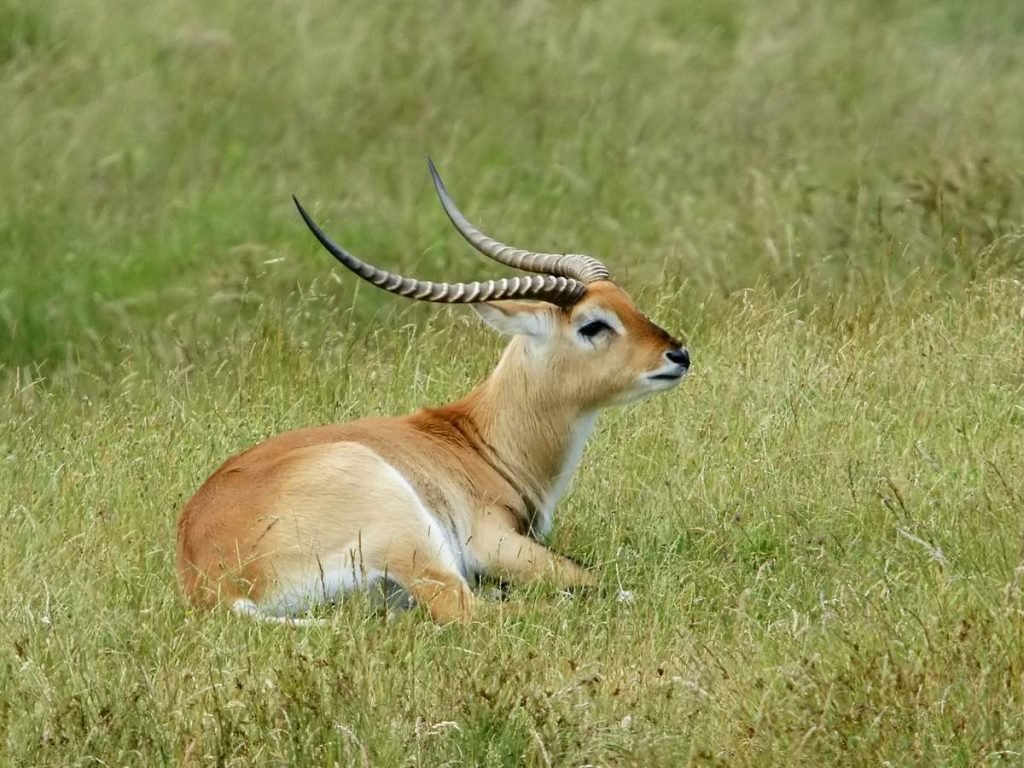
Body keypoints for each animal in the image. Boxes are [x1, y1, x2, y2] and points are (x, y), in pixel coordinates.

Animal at [176, 160, 692, 626]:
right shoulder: (496, 543)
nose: (679, 354)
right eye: (593, 324)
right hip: (409, 528)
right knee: (468, 609)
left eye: (628, 303)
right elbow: (591, 577)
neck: (478, 442)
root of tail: (218, 584)